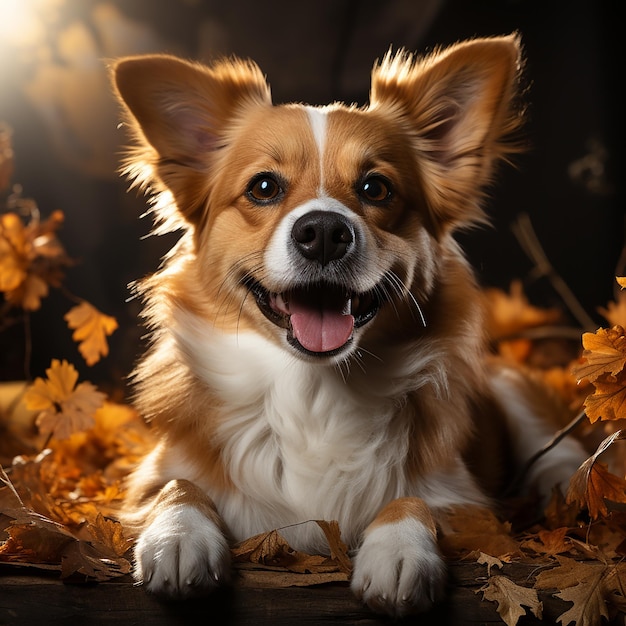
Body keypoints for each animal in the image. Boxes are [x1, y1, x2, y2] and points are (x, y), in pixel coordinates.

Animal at [109, 35, 584, 616]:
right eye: (263, 187)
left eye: (376, 188)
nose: (323, 231)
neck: (312, 391)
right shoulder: (149, 473)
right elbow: (177, 485)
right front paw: (178, 536)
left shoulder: (466, 500)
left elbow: (410, 498)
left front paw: (399, 549)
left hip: (512, 387)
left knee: (563, 454)